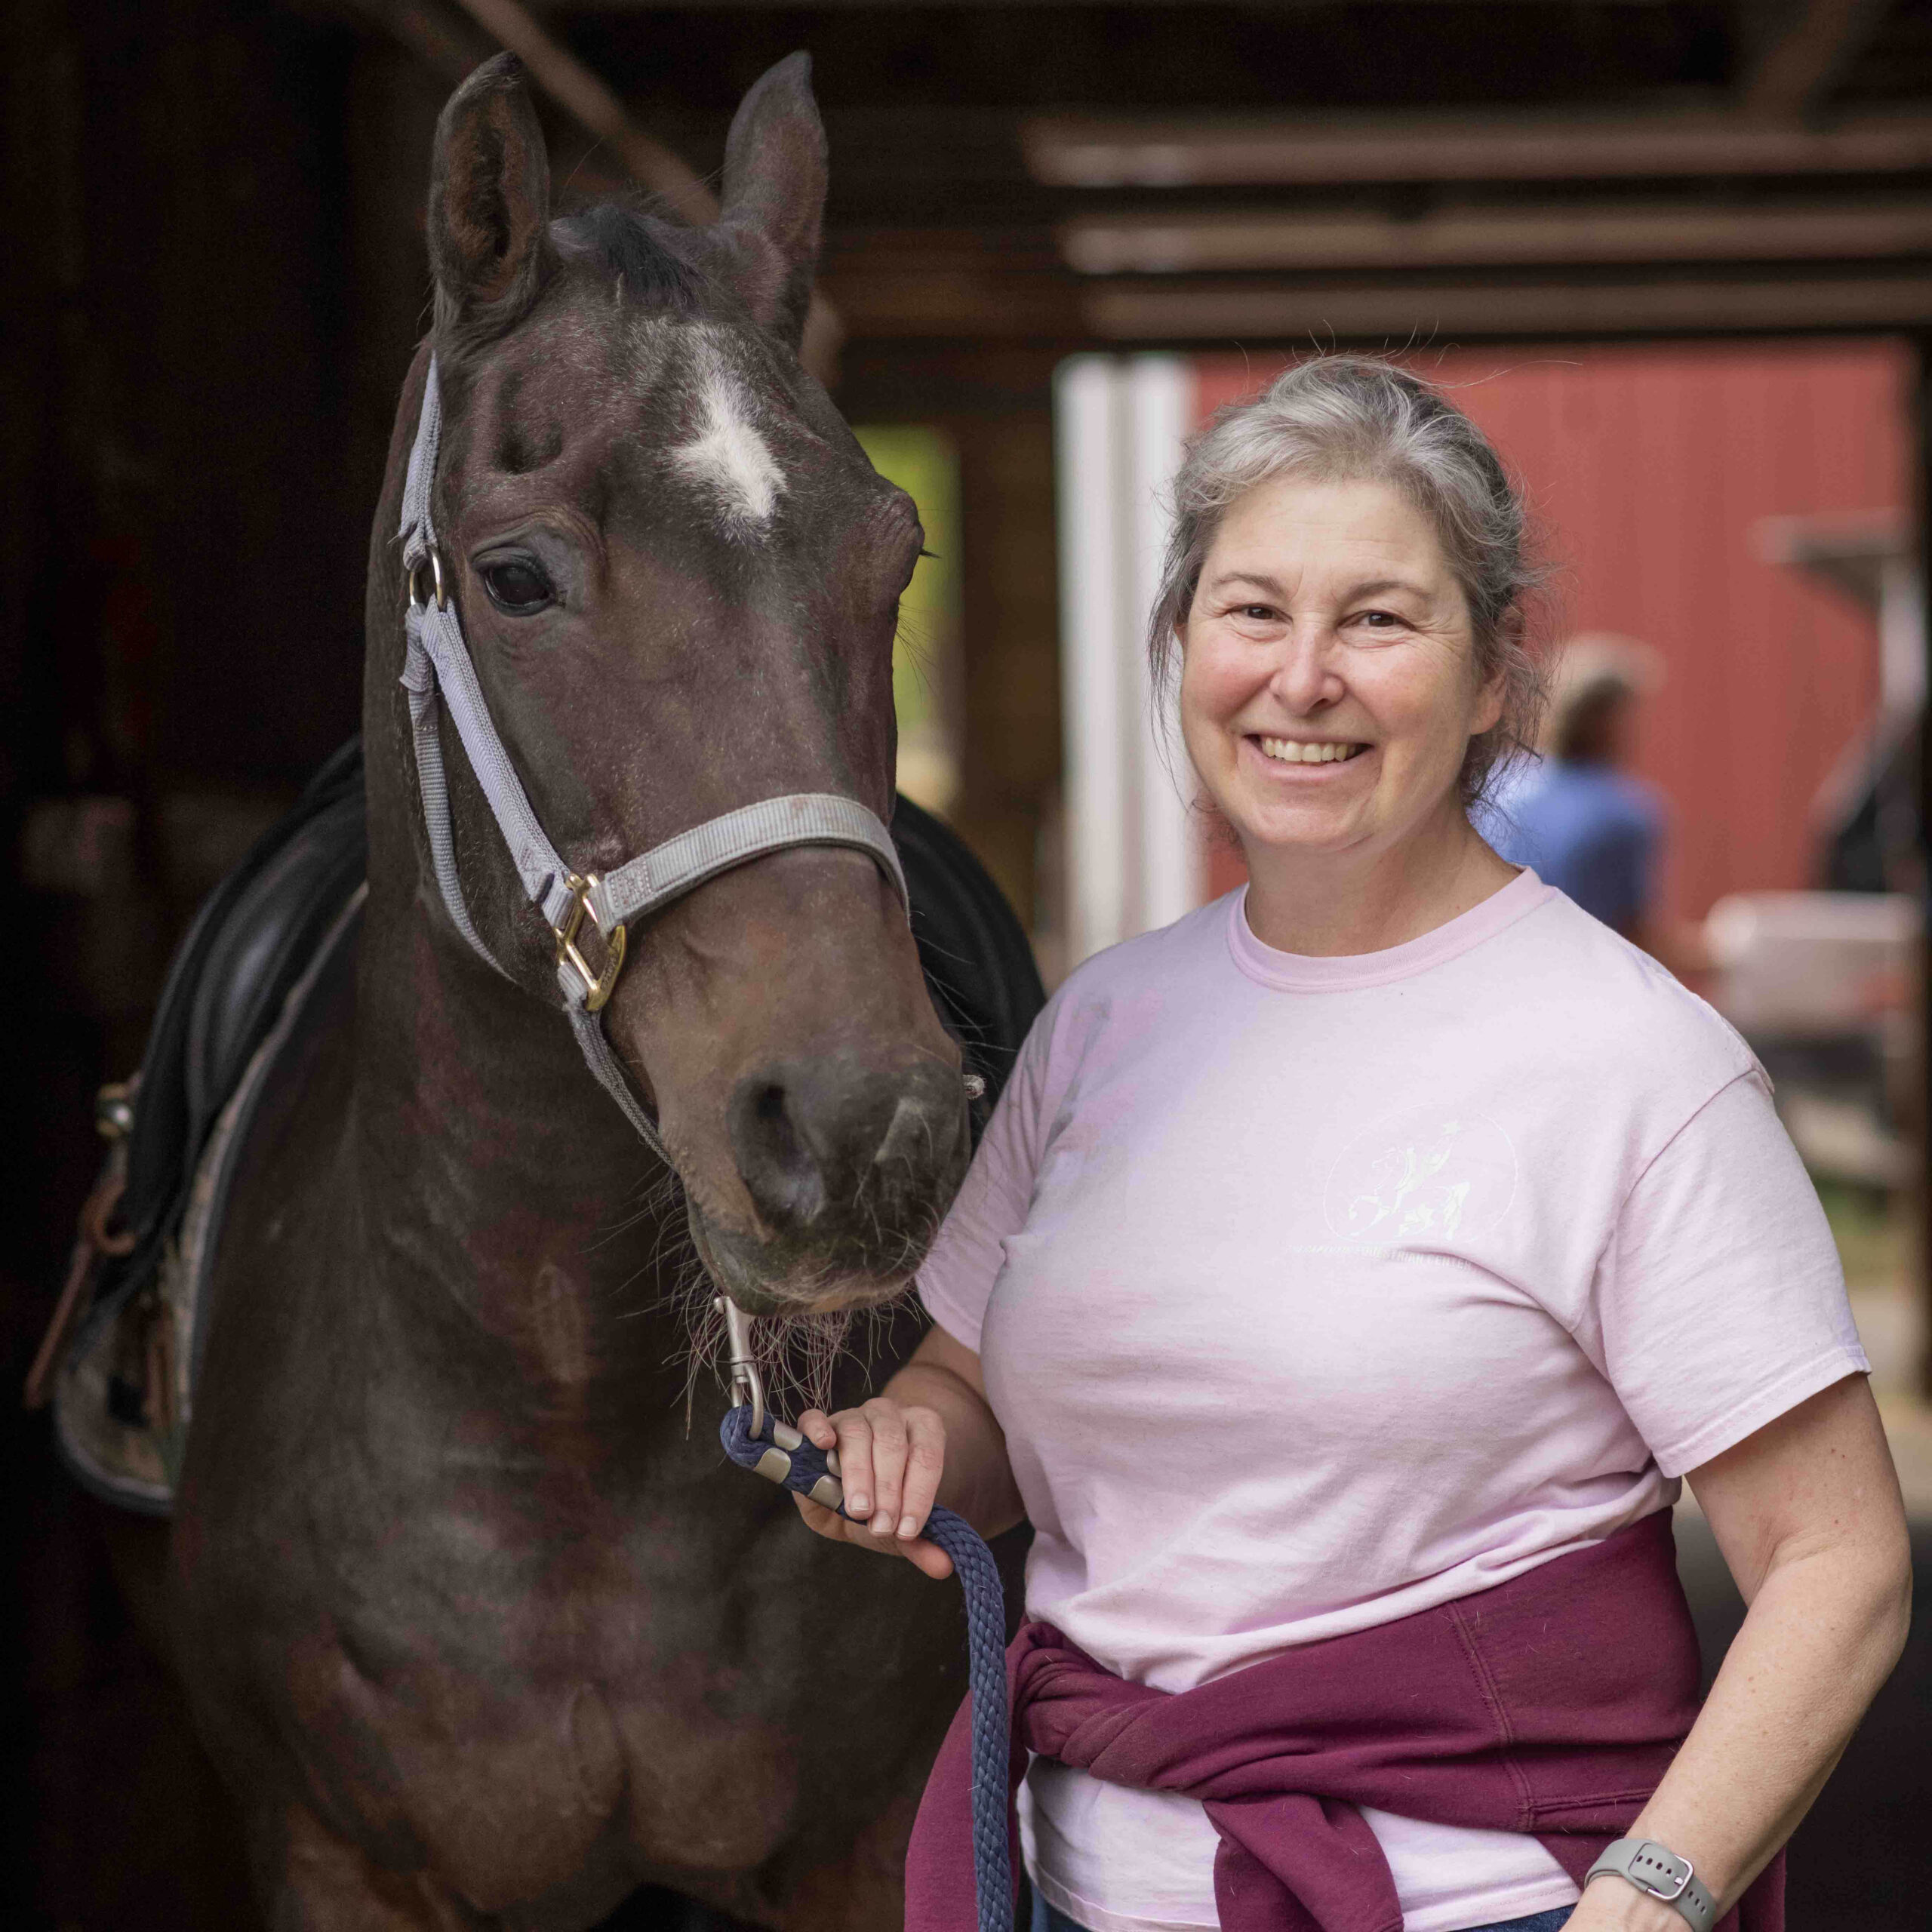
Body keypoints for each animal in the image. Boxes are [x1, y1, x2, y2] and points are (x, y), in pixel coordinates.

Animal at [164, 53, 989, 1924]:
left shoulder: (856, 1845)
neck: (553, 1403)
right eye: (518, 573)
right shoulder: (332, 1857)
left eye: (895, 557)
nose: (865, 1130)